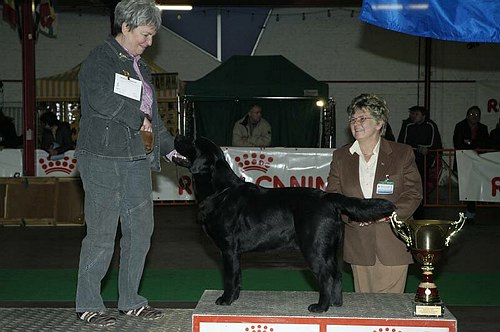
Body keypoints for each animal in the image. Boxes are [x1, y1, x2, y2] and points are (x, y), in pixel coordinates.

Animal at [174, 136, 396, 312]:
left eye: (192, 141)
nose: (177, 136)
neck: (219, 191)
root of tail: (328, 197)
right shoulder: (234, 252)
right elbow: (237, 277)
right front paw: (235, 297)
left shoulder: (228, 248)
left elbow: (229, 277)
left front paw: (225, 299)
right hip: (328, 248)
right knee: (337, 274)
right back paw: (335, 303)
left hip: (313, 247)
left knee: (325, 276)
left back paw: (320, 307)